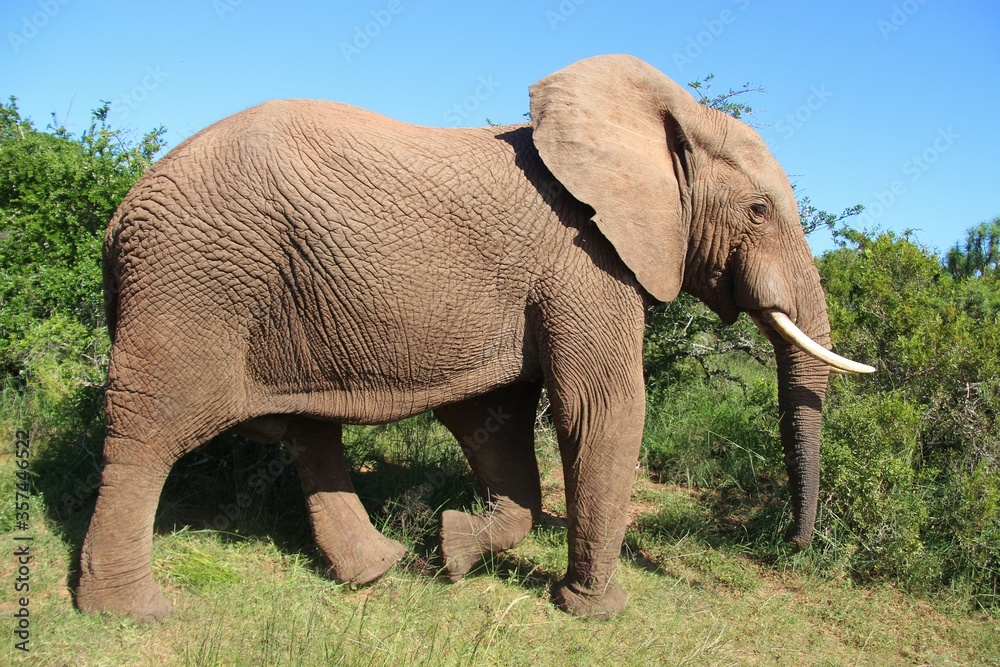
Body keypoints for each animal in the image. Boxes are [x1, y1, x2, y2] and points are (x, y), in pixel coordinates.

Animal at [77, 54, 872, 621]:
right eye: (760, 210)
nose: (790, 545)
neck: (657, 118)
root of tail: (117, 218)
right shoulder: (585, 261)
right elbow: (601, 409)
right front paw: (593, 612)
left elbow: (495, 421)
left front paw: (453, 552)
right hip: (194, 284)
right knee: (150, 433)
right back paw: (131, 613)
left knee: (307, 428)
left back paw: (378, 569)